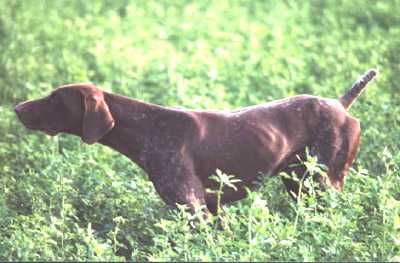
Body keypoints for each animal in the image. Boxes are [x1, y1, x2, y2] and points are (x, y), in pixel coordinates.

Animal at [14, 69, 376, 214]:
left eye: (55, 100)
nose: (16, 108)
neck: (147, 127)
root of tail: (340, 104)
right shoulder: (212, 209)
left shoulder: (193, 208)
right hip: (299, 185)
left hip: (322, 184)